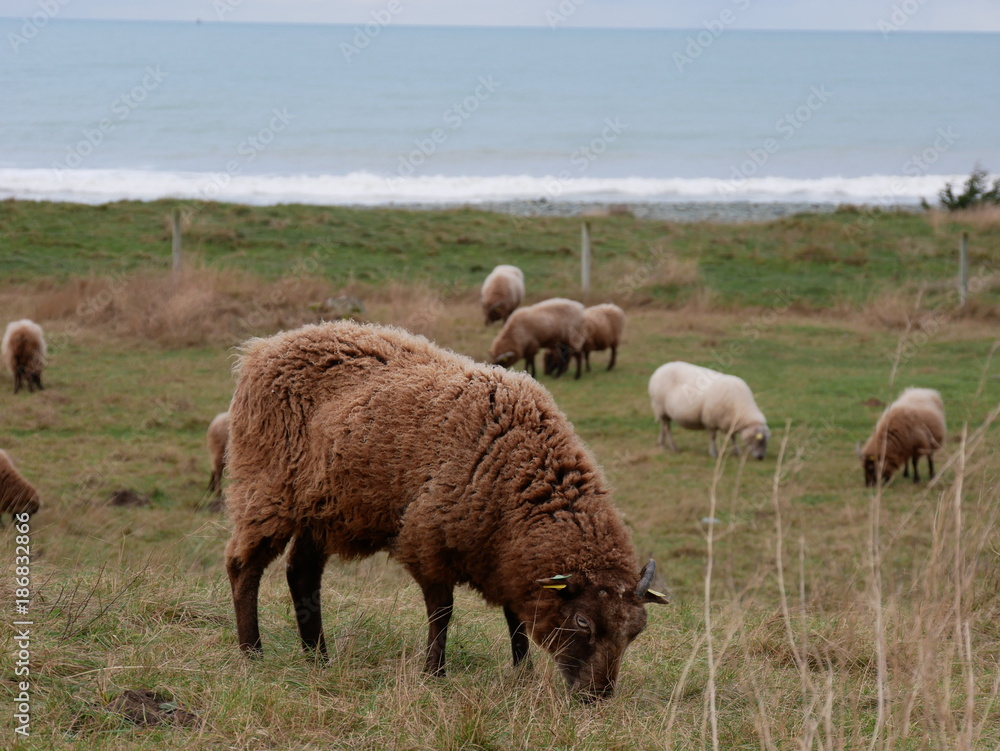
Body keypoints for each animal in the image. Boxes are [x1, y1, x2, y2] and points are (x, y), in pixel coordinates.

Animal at [224, 321, 668, 699]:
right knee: (243, 566)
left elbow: (515, 621)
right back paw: (252, 653)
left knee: (301, 574)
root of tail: (263, 348)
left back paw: (318, 658)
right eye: (583, 622)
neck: (520, 472)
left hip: (322, 511)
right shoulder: (428, 543)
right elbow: (442, 614)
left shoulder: (504, 556)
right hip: (266, 490)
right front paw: (434, 673)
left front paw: (522, 674)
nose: (597, 697)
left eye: (635, 632)